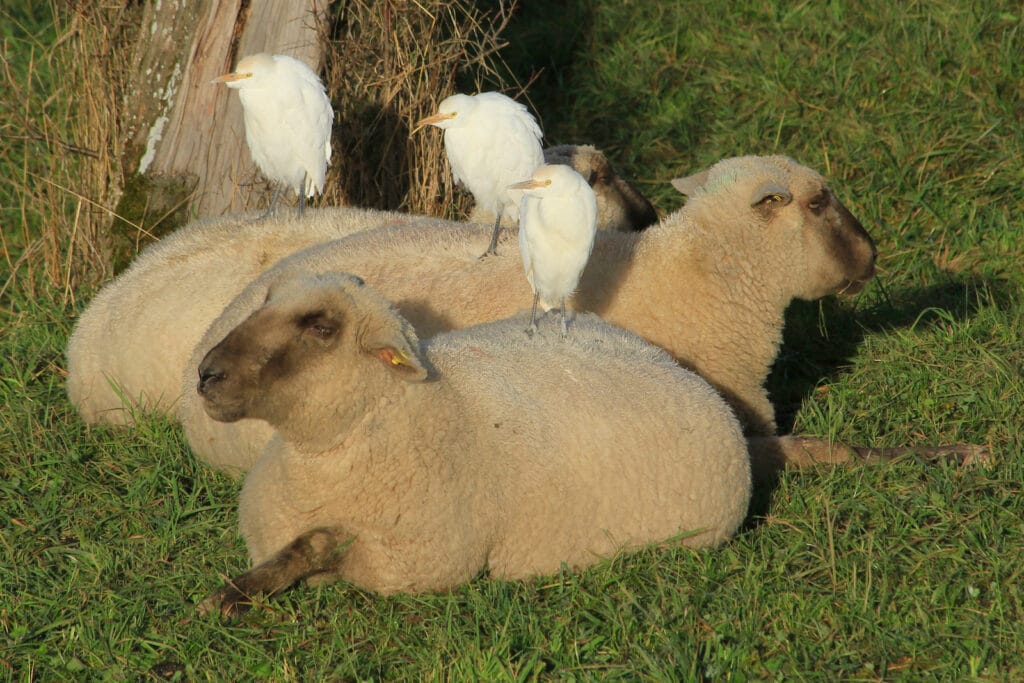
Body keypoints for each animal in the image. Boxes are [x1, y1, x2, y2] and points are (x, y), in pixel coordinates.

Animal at [193, 270, 753, 614]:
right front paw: (240, 590)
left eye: (321, 327)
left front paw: (229, 597)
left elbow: (318, 546)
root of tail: (674, 364)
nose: (206, 375)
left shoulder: (413, 564)